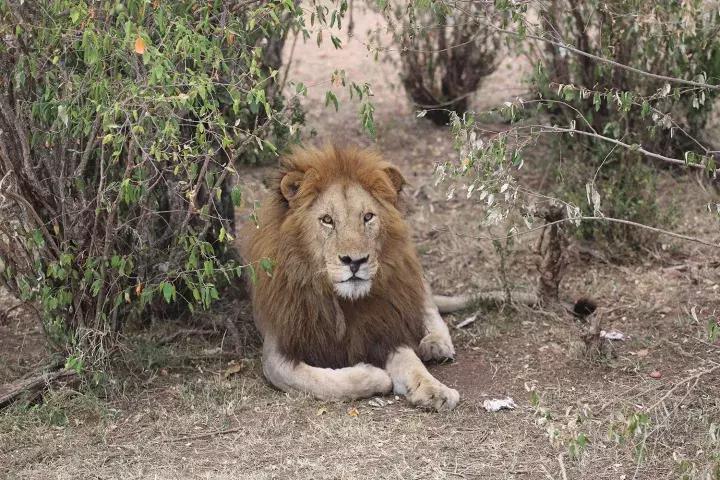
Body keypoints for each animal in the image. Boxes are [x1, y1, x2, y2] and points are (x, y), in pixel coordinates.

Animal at [242, 144, 464, 410]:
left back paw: (435, 344)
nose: (355, 261)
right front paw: (376, 376)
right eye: (327, 220)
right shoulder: (277, 352)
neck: (342, 302)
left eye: (367, 217)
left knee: (426, 304)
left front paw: (435, 390)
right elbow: (322, 382)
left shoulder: (381, 327)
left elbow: (411, 362)